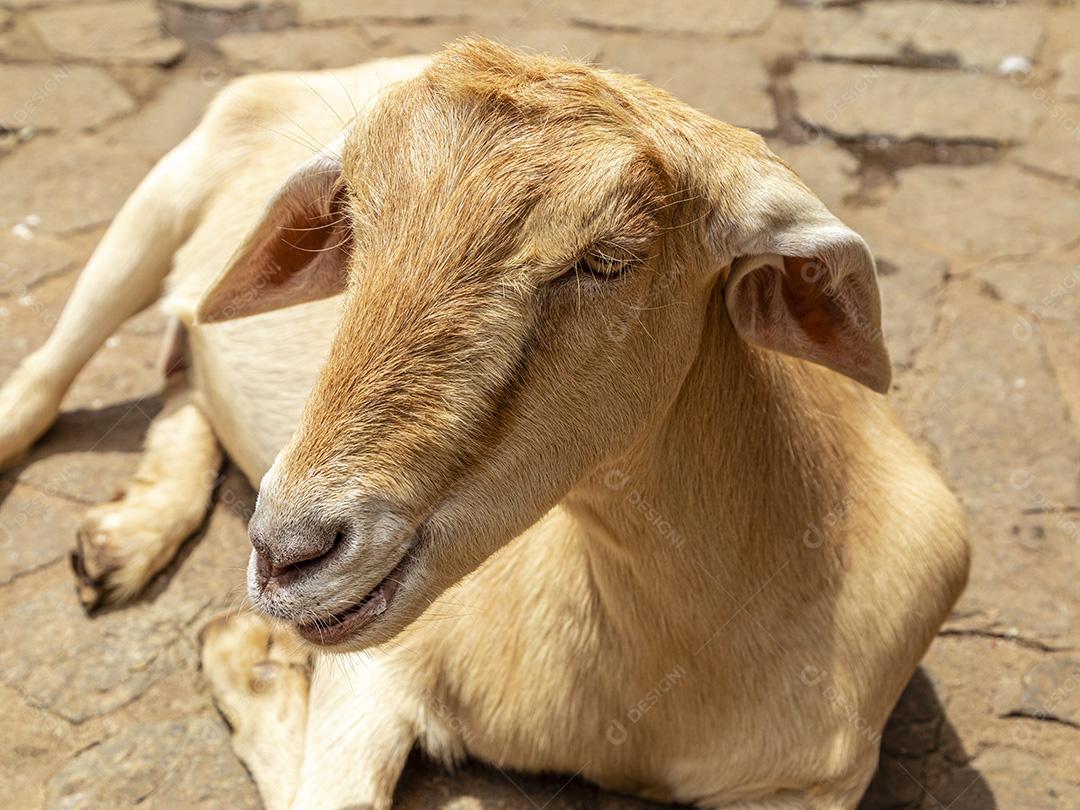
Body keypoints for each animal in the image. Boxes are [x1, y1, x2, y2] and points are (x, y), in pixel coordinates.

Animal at [0, 39, 967, 810]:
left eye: (607, 259)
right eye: (354, 220)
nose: (286, 553)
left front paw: (249, 663)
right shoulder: (377, 675)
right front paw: (250, 665)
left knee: (182, 373)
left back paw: (126, 537)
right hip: (158, 199)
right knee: (47, 375)